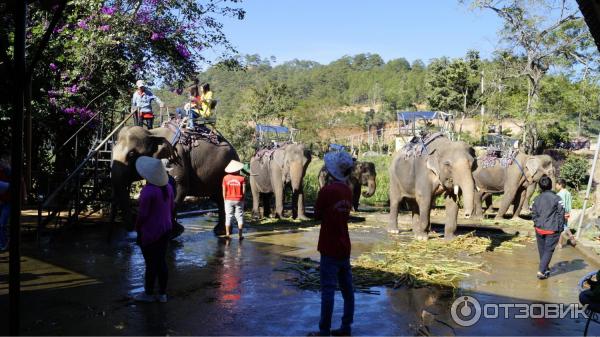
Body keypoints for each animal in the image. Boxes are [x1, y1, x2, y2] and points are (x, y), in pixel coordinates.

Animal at [110, 124, 239, 234]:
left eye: (131, 154)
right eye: (112, 152)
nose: (131, 227)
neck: (152, 133)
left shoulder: (176, 159)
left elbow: (180, 189)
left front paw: (173, 232)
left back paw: (222, 231)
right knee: (218, 199)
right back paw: (220, 231)